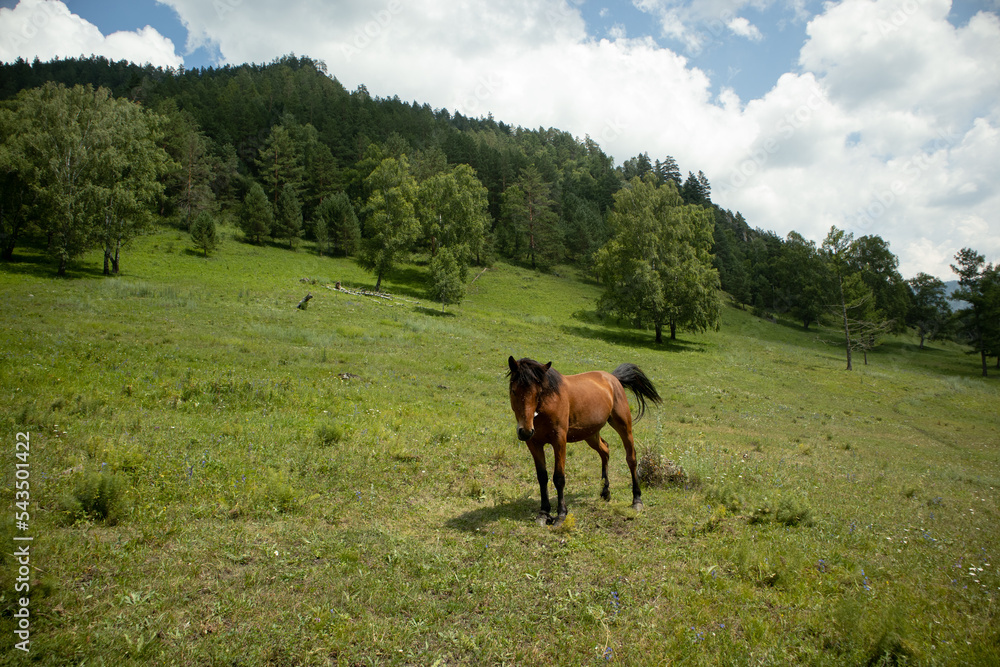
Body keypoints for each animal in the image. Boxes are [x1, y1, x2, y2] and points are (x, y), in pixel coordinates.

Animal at [506, 356, 662, 526]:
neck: (548, 404)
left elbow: (558, 478)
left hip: (624, 427)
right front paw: (544, 513)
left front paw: (561, 514)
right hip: (591, 434)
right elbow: (542, 477)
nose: (525, 431)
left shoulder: (559, 441)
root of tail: (612, 378)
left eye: (538, 392)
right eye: (514, 390)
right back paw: (605, 492)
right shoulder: (534, 444)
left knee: (631, 459)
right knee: (605, 451)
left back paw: (637, 500)